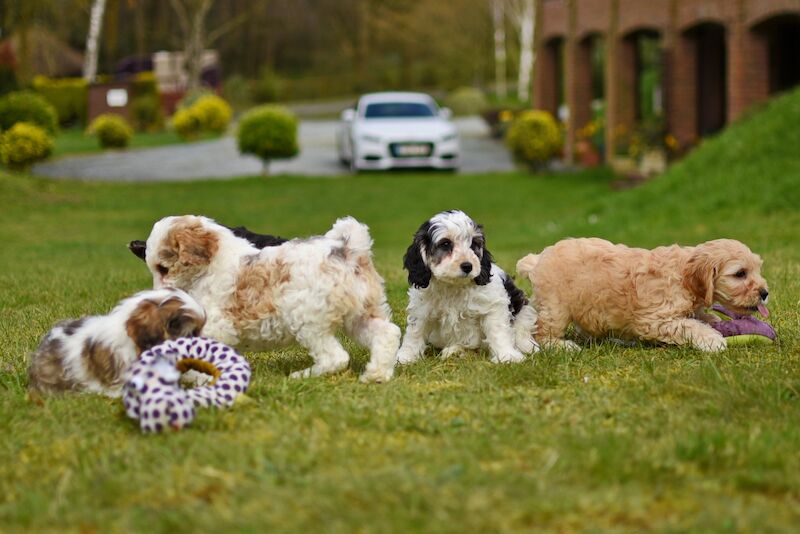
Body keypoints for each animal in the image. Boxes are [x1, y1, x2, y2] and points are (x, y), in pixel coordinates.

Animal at [138, 216, 404, 384]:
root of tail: (349, 250)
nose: (158, 294)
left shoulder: (216, 323)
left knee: (335, 357)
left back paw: (301, 376)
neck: (209, 268)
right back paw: (376, 375)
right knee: (387, 333)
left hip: (307, 319)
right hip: (362, 313)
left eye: (163, 268)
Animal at [396, 211, 540, 366]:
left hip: (523, 309)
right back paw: (454, 351)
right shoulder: (421, 309)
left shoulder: (493, 305)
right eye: (445, 244)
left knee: (522, 330)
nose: (467, 266)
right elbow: (415, 332)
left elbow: (498, 330)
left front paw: (507, 355)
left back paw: (528, 347)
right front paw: (405, 357)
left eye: (474, 244)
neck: (453, 286)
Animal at [516, 239, 772, 352]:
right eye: (740, 274)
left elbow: (697, 317)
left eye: (757, 269)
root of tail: (537, 259)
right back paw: (563, 346)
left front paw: (711, 320)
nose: (765, 293)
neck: (683, 274)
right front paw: (712, 340)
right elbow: (688, 325)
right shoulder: (655, 319)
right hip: (556, 307)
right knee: (543, 332)